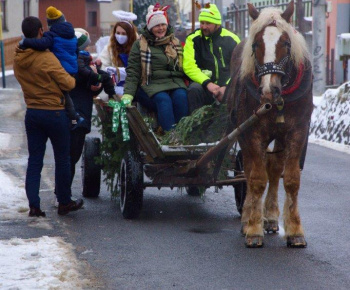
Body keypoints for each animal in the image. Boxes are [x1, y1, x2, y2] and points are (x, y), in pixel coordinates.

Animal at [226, 1, 314, 248]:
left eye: (286, 43)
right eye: (256, 44)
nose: (268, 90)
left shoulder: (297, 132)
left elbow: (290, 179)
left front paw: (295, 230)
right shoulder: (252, 133)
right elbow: (256, 179)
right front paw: (254, 229)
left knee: (274, 169)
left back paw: (272, 217)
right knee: (248, 171)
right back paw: (247, 219)